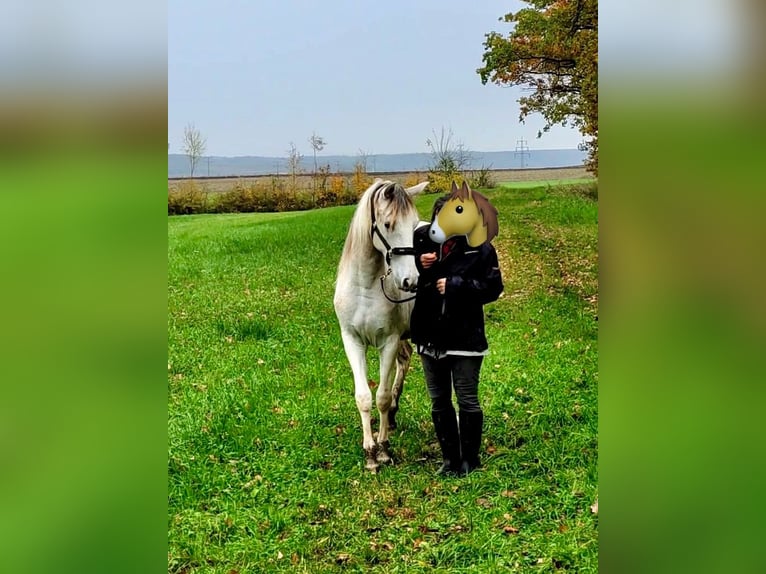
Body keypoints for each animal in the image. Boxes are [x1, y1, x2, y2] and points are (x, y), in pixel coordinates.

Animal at [336, 179, 432, 472]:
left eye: (413, 225)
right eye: (388, 224)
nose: (411, 281)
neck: (365, 286)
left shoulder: (387, 342)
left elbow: (382, 396)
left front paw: (383, 450)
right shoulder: (352, 341)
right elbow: (364, 397)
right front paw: (369, 452)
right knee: (405, 360)